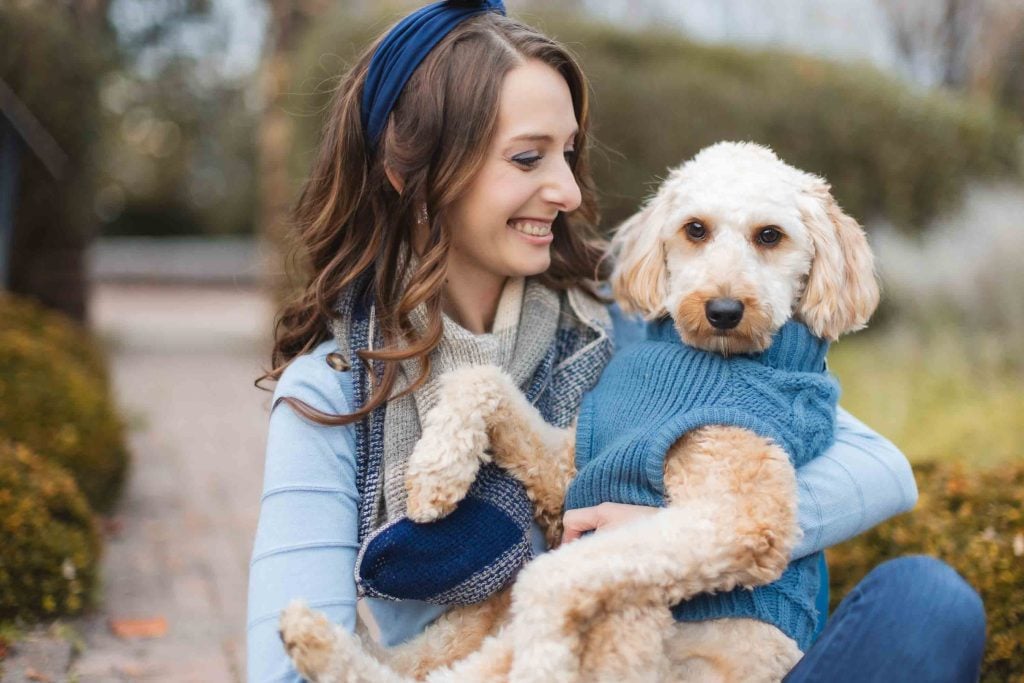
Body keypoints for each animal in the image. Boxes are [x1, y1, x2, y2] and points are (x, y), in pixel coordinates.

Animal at [280, 143, 880, 683]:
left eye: (770, 236)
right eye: (695, 229)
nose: (724, 310)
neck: (700, 358)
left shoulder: (742, 518)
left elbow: (550, 578)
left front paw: (543, 657)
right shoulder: (572, 464)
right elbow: (483, 379)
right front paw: (434, 472)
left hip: (637, 621)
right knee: (426, 662)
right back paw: (315, 637)